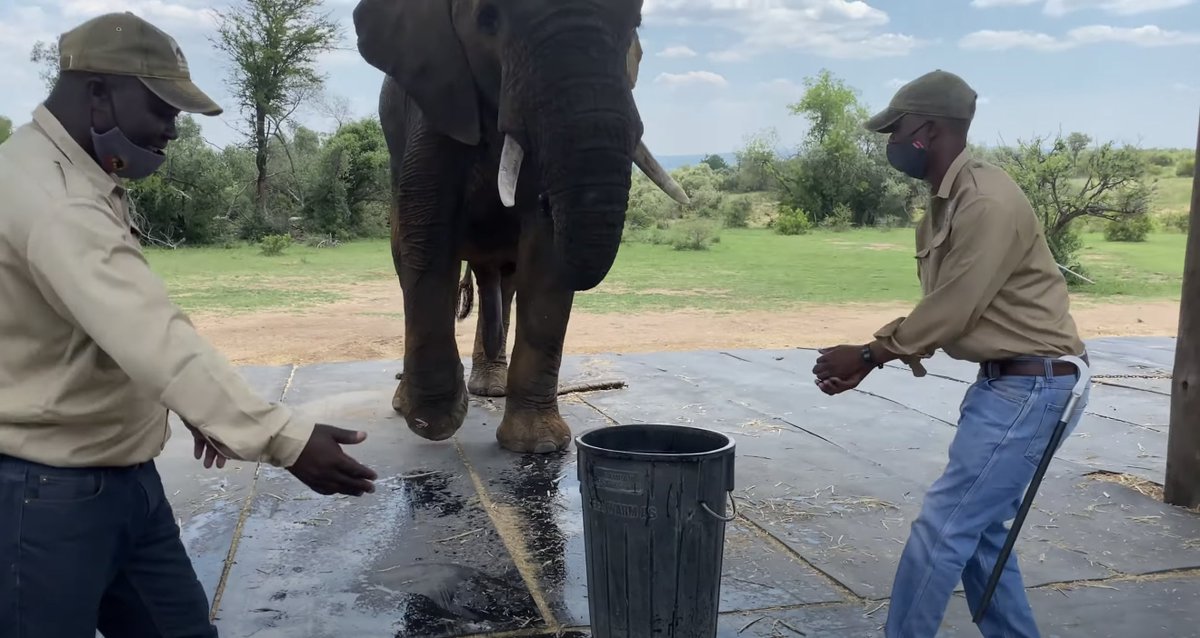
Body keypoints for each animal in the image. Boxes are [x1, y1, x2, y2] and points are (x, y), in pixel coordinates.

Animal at [350, 0, 686, 453]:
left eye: (634, 23)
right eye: (488, 18)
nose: (544, 200)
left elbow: (543, 259)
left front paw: (537, 445)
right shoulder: (434, 102)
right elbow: (427, 235)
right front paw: (435, 423)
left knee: (504, 282)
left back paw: (491, 388)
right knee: (410, 256)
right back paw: (410, 404)